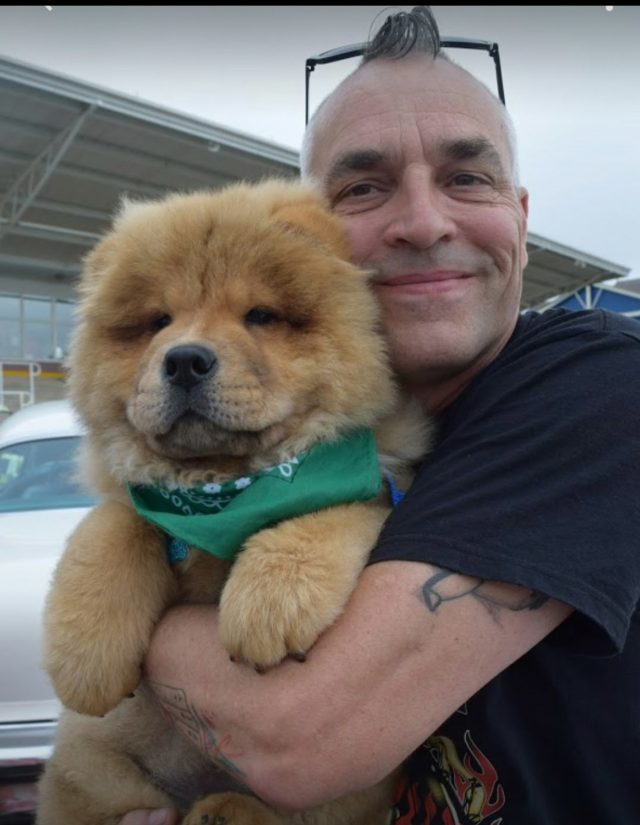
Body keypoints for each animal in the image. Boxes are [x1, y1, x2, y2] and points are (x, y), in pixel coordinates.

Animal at [37, 180, 432, 824]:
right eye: (158, 322)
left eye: (260, 316)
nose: (184, 359)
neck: (221, 484)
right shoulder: (134, 490)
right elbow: (114, 523)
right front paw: (85, 659)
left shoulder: (377, 476)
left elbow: (330, 510)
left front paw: (270, 603)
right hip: (93, 766)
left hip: (340, 790)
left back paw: (225, 808)